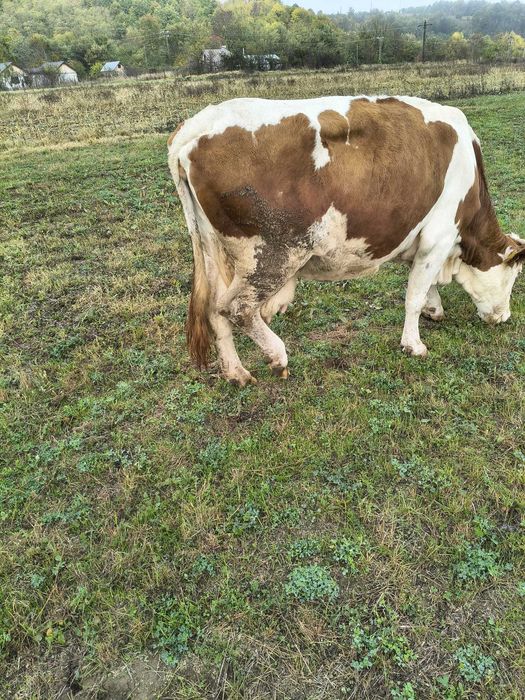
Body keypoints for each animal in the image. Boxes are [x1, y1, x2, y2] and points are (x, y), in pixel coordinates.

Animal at [168, 96, 525, 386]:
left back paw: (237, 373)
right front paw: (414, 344)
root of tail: (197, 123)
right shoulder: (439, 234)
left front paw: (434, 309)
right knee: (235, 307)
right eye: (513, 277)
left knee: (214, 311)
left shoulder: (423, 240)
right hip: (272, 253)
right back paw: (277, 356)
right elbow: (414, 295)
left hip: (215, 250)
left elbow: (425, 285)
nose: (504, 317)